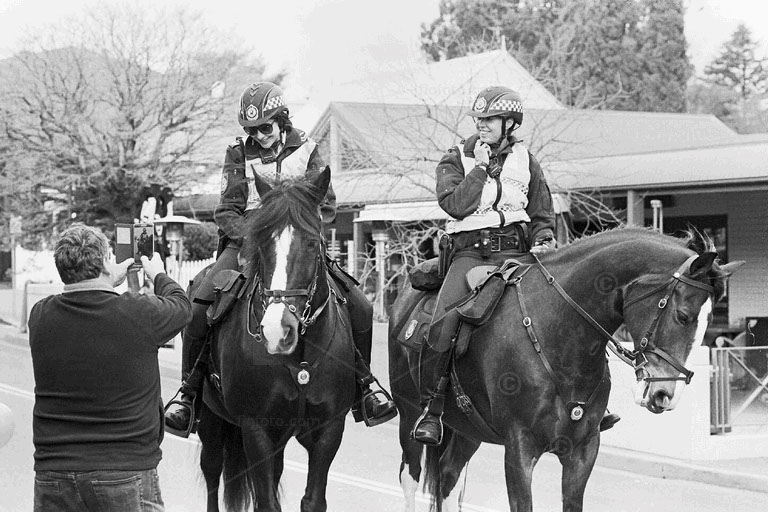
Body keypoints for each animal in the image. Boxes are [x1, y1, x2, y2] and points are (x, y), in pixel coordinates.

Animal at [195, 166, 356, 510]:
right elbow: (267, 502)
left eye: (311, 243)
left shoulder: (329, 430)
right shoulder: (257, 430)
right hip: (211, 422)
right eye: (261, 242)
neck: (301, 360)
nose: (276, 330)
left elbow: (312, 499)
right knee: (212, 471)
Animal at [390, 229, 744, 512]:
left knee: (449, 476)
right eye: (683, 316)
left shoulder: (582, 451)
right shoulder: (519, 449)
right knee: (410, 477)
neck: (558, 335)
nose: (665, 394)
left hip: (468, 429)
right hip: (410, 417)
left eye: (710, 321)